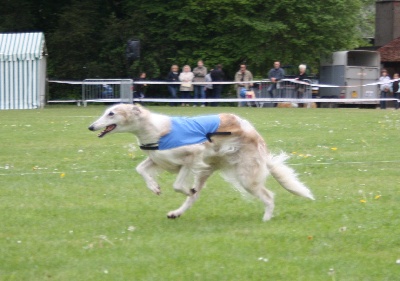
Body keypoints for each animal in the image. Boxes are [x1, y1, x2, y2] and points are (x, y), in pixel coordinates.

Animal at [88, 103, 316, 221]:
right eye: (105, 112)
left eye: (111, 113)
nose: (91, 127)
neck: (154, 129)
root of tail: (254, 133)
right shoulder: (160, 159)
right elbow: (141, 169)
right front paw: (155, 187)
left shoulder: (192, 157)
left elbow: (177, 185)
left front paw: (182, 189)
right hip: (208, 169)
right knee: (195, 197)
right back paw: (176, 212)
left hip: (245, 175)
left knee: (269, 195)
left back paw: (266, 218)